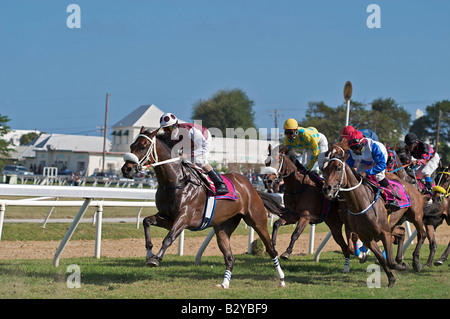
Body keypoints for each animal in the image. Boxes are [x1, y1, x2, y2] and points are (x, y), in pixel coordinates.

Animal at [121, 128, 286, 290]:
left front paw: (156, 259)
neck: (176, 181)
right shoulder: (168, 218)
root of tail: (251, 188)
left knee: (271, 249)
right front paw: (149, 253)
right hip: (223, 228)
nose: (126, 169)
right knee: (230, 258)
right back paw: (225, 284)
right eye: (131, 145)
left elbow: (168, 238)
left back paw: (282, 279)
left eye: (143, 146)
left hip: (257, 221)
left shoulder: (184, 217)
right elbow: (146, 221)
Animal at [324, 141, 426, 288]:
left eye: (338, 168)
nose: (327, 188)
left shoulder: (384, 232)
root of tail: (411, 185)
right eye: (326, 169)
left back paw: (416, 262)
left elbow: (389, 260)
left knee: (422, 234)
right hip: (394, 223)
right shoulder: (366, 236)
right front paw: (391, 278)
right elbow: (382, 259)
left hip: (416, 216)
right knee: (401, 232)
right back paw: (401, 258)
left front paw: (402, 266)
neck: (360, 204)